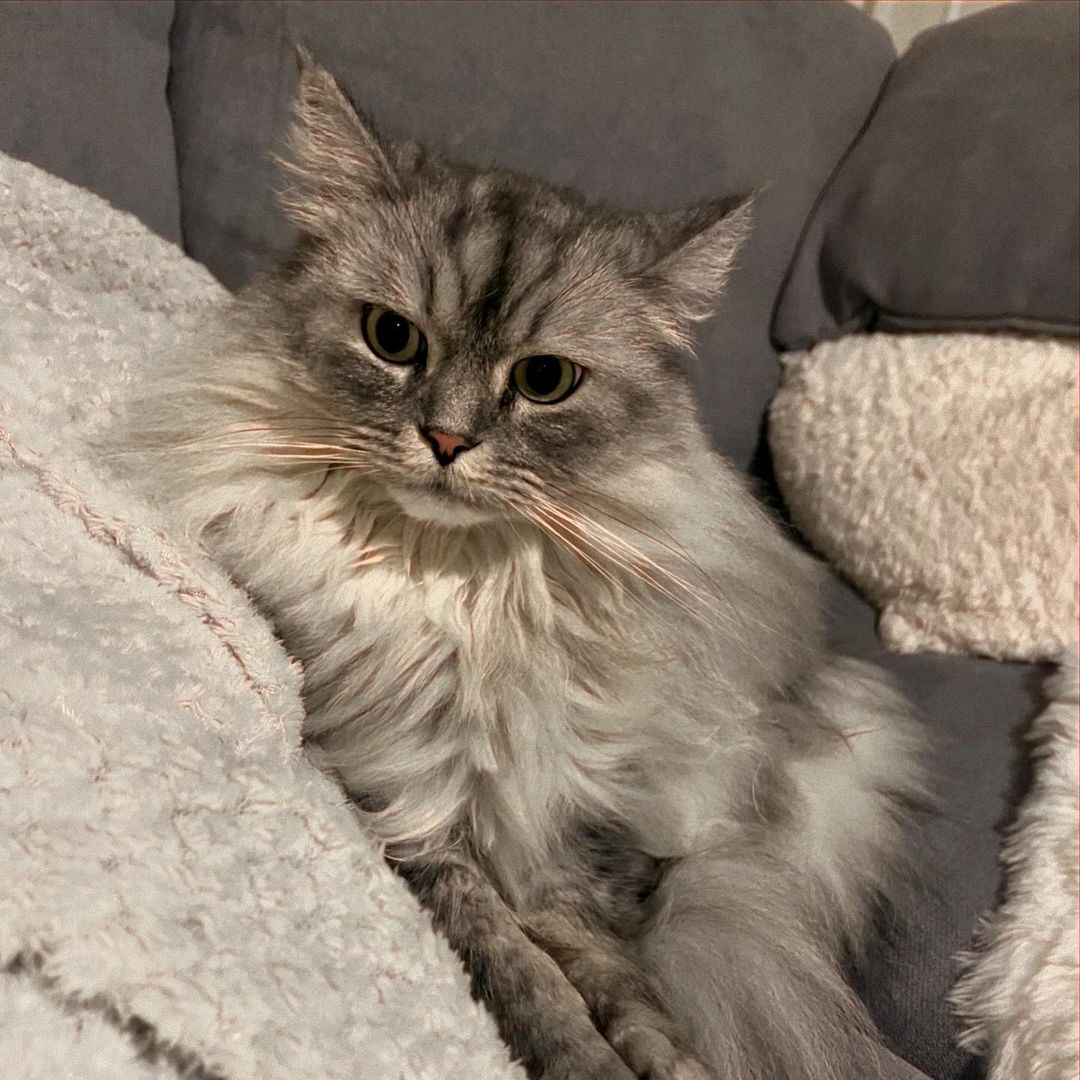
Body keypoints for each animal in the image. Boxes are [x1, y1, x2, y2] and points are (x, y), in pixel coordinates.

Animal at [124, 52, 928, 1080]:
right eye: (392, 338)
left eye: (545, 381)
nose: (446, 441)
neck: (459, 596)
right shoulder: (403, 804)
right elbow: (525, 974)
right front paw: (586, 1056)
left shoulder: (563, 824)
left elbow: (610, 973)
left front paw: (664, 1058)